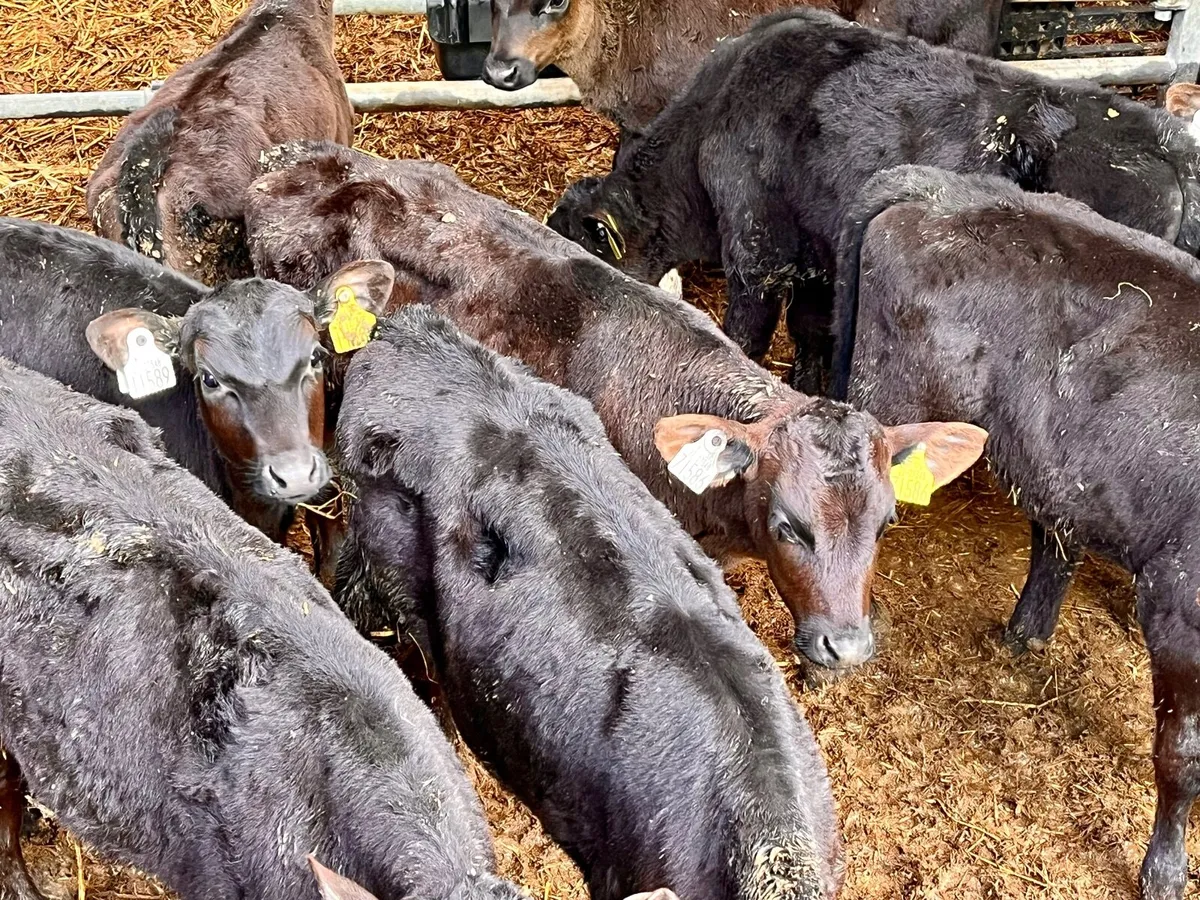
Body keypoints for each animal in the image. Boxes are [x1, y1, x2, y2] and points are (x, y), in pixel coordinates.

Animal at [829, 164, 1200, 900]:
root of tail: (942, 187)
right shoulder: (1176, 604)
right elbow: (1180, 755)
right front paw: (1165, 869)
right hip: (884, 400)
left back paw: (1024, 635)